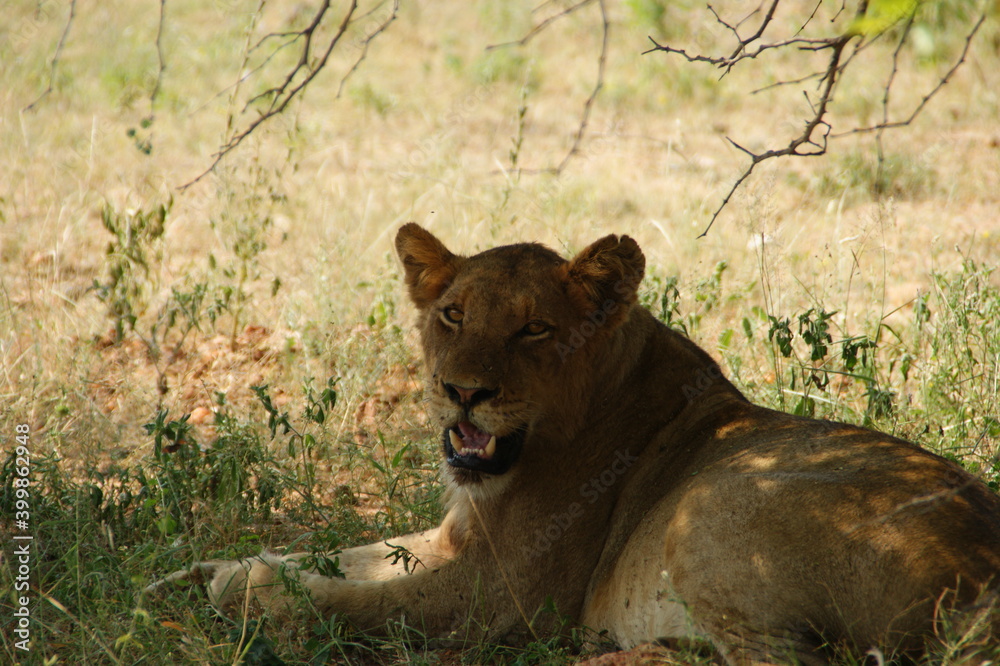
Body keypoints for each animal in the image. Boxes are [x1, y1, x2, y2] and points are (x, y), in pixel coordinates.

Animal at [153, 223, 1000, 664]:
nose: (462, 390)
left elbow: (352, 601)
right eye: (453, 314)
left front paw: (244, 593)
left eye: (534, 328)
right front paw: (198, 575)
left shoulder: (501, 597)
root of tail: (976, 579)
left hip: (713, 508)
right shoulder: (454, 538)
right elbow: (339, 557)